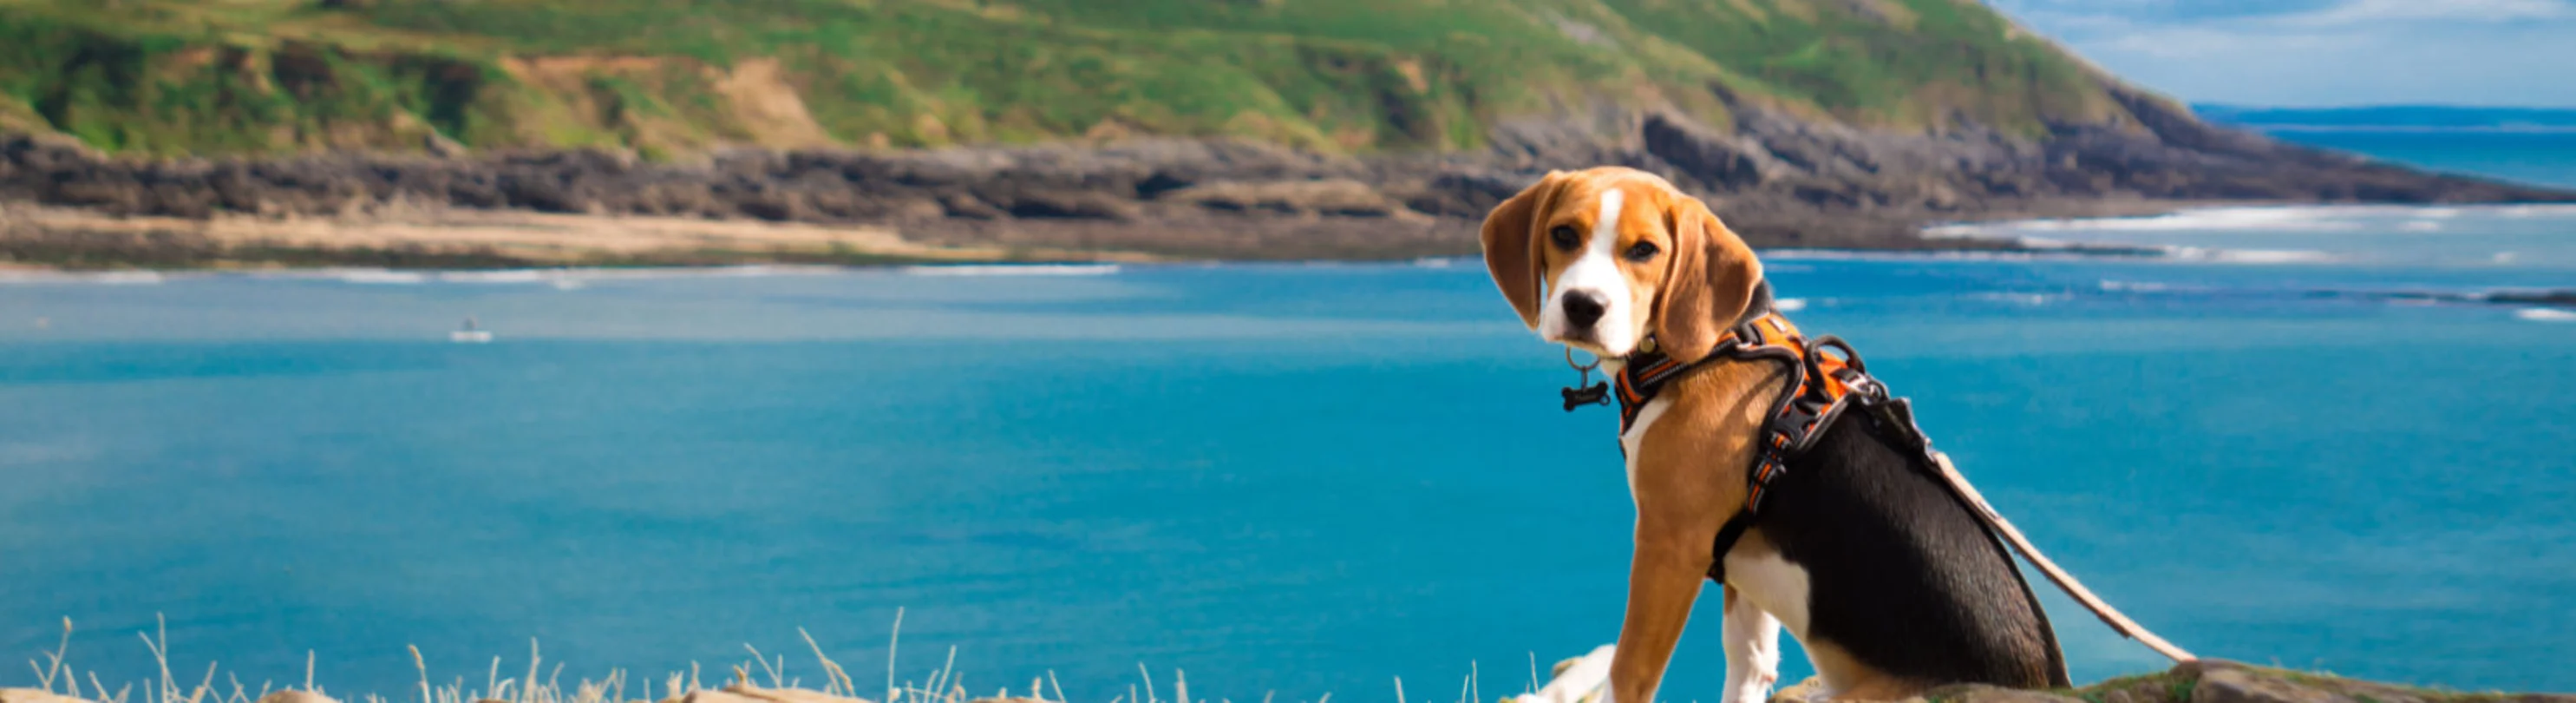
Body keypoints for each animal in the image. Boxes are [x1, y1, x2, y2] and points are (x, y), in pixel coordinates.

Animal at [1483, 167, 2061, 695]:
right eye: (1563, 234)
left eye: (1644, 250)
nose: (1583, 306)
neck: (1710, 348)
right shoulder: (1741, 562)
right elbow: (1750, 660)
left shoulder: (1669, 545)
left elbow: (1630, 672)